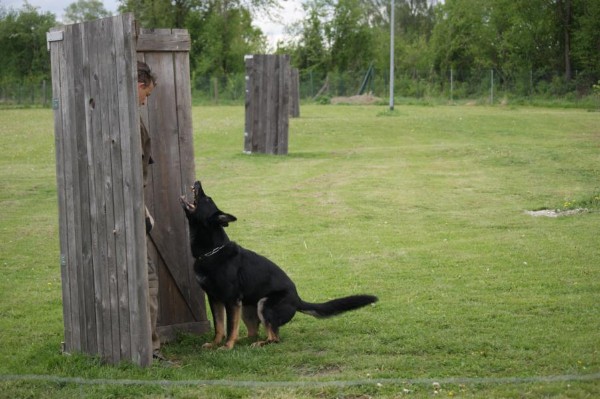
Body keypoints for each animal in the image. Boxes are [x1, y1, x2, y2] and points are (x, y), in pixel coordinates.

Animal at [179, 181, 380, 350]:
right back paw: (244, 341)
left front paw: (227, 346)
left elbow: (229, 328)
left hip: (264, 304)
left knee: (274, 337)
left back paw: (258, 344)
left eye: (207, 199)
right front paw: (215, 344)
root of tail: (298, 300)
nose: (197, 182)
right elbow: (219, 326)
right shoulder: (215, 299)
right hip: (247, 308)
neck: (212, 251)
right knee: (253, 332)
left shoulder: (231, 300)